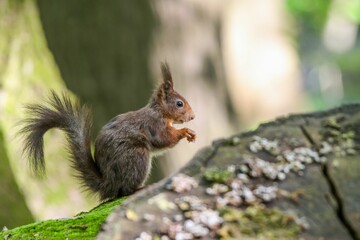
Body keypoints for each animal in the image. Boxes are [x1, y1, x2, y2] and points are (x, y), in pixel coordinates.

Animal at [19, 62, 195, 201]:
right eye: (179, 103)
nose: (193, 116)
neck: (160, 111)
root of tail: (109, 183)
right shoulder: (153, 124)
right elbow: (163, 139)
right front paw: (185, 131)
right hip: (137, 157)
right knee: (125, 191)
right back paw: (140, 188)